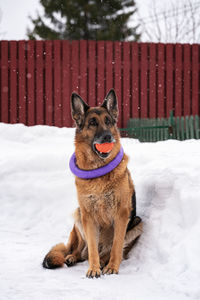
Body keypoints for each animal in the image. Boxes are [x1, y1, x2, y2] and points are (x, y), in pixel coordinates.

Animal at [42, 89, 142, 278]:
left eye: (108, 121)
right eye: (93, 123)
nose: (108, 137)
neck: (98, 171)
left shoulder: (121, 214)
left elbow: (117, 245)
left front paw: (112, 267)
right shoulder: (88, 216)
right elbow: (92, 249)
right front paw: (93, 269)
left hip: (138, 223)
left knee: (107, 250)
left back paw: (104, 261)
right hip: (78, 214)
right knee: (82, 251)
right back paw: (73, 257)